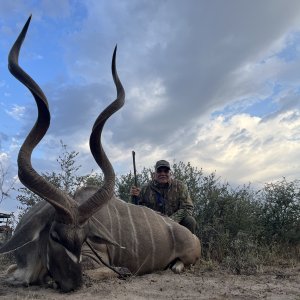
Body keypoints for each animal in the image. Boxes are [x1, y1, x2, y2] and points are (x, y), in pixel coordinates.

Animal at [0, 17, 202, 292]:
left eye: (84, 237)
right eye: (54, 235)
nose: (73, 284)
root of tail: (190, 236)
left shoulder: (96, 257)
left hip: (190, 253)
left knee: (183, 263)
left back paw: (174, 266)